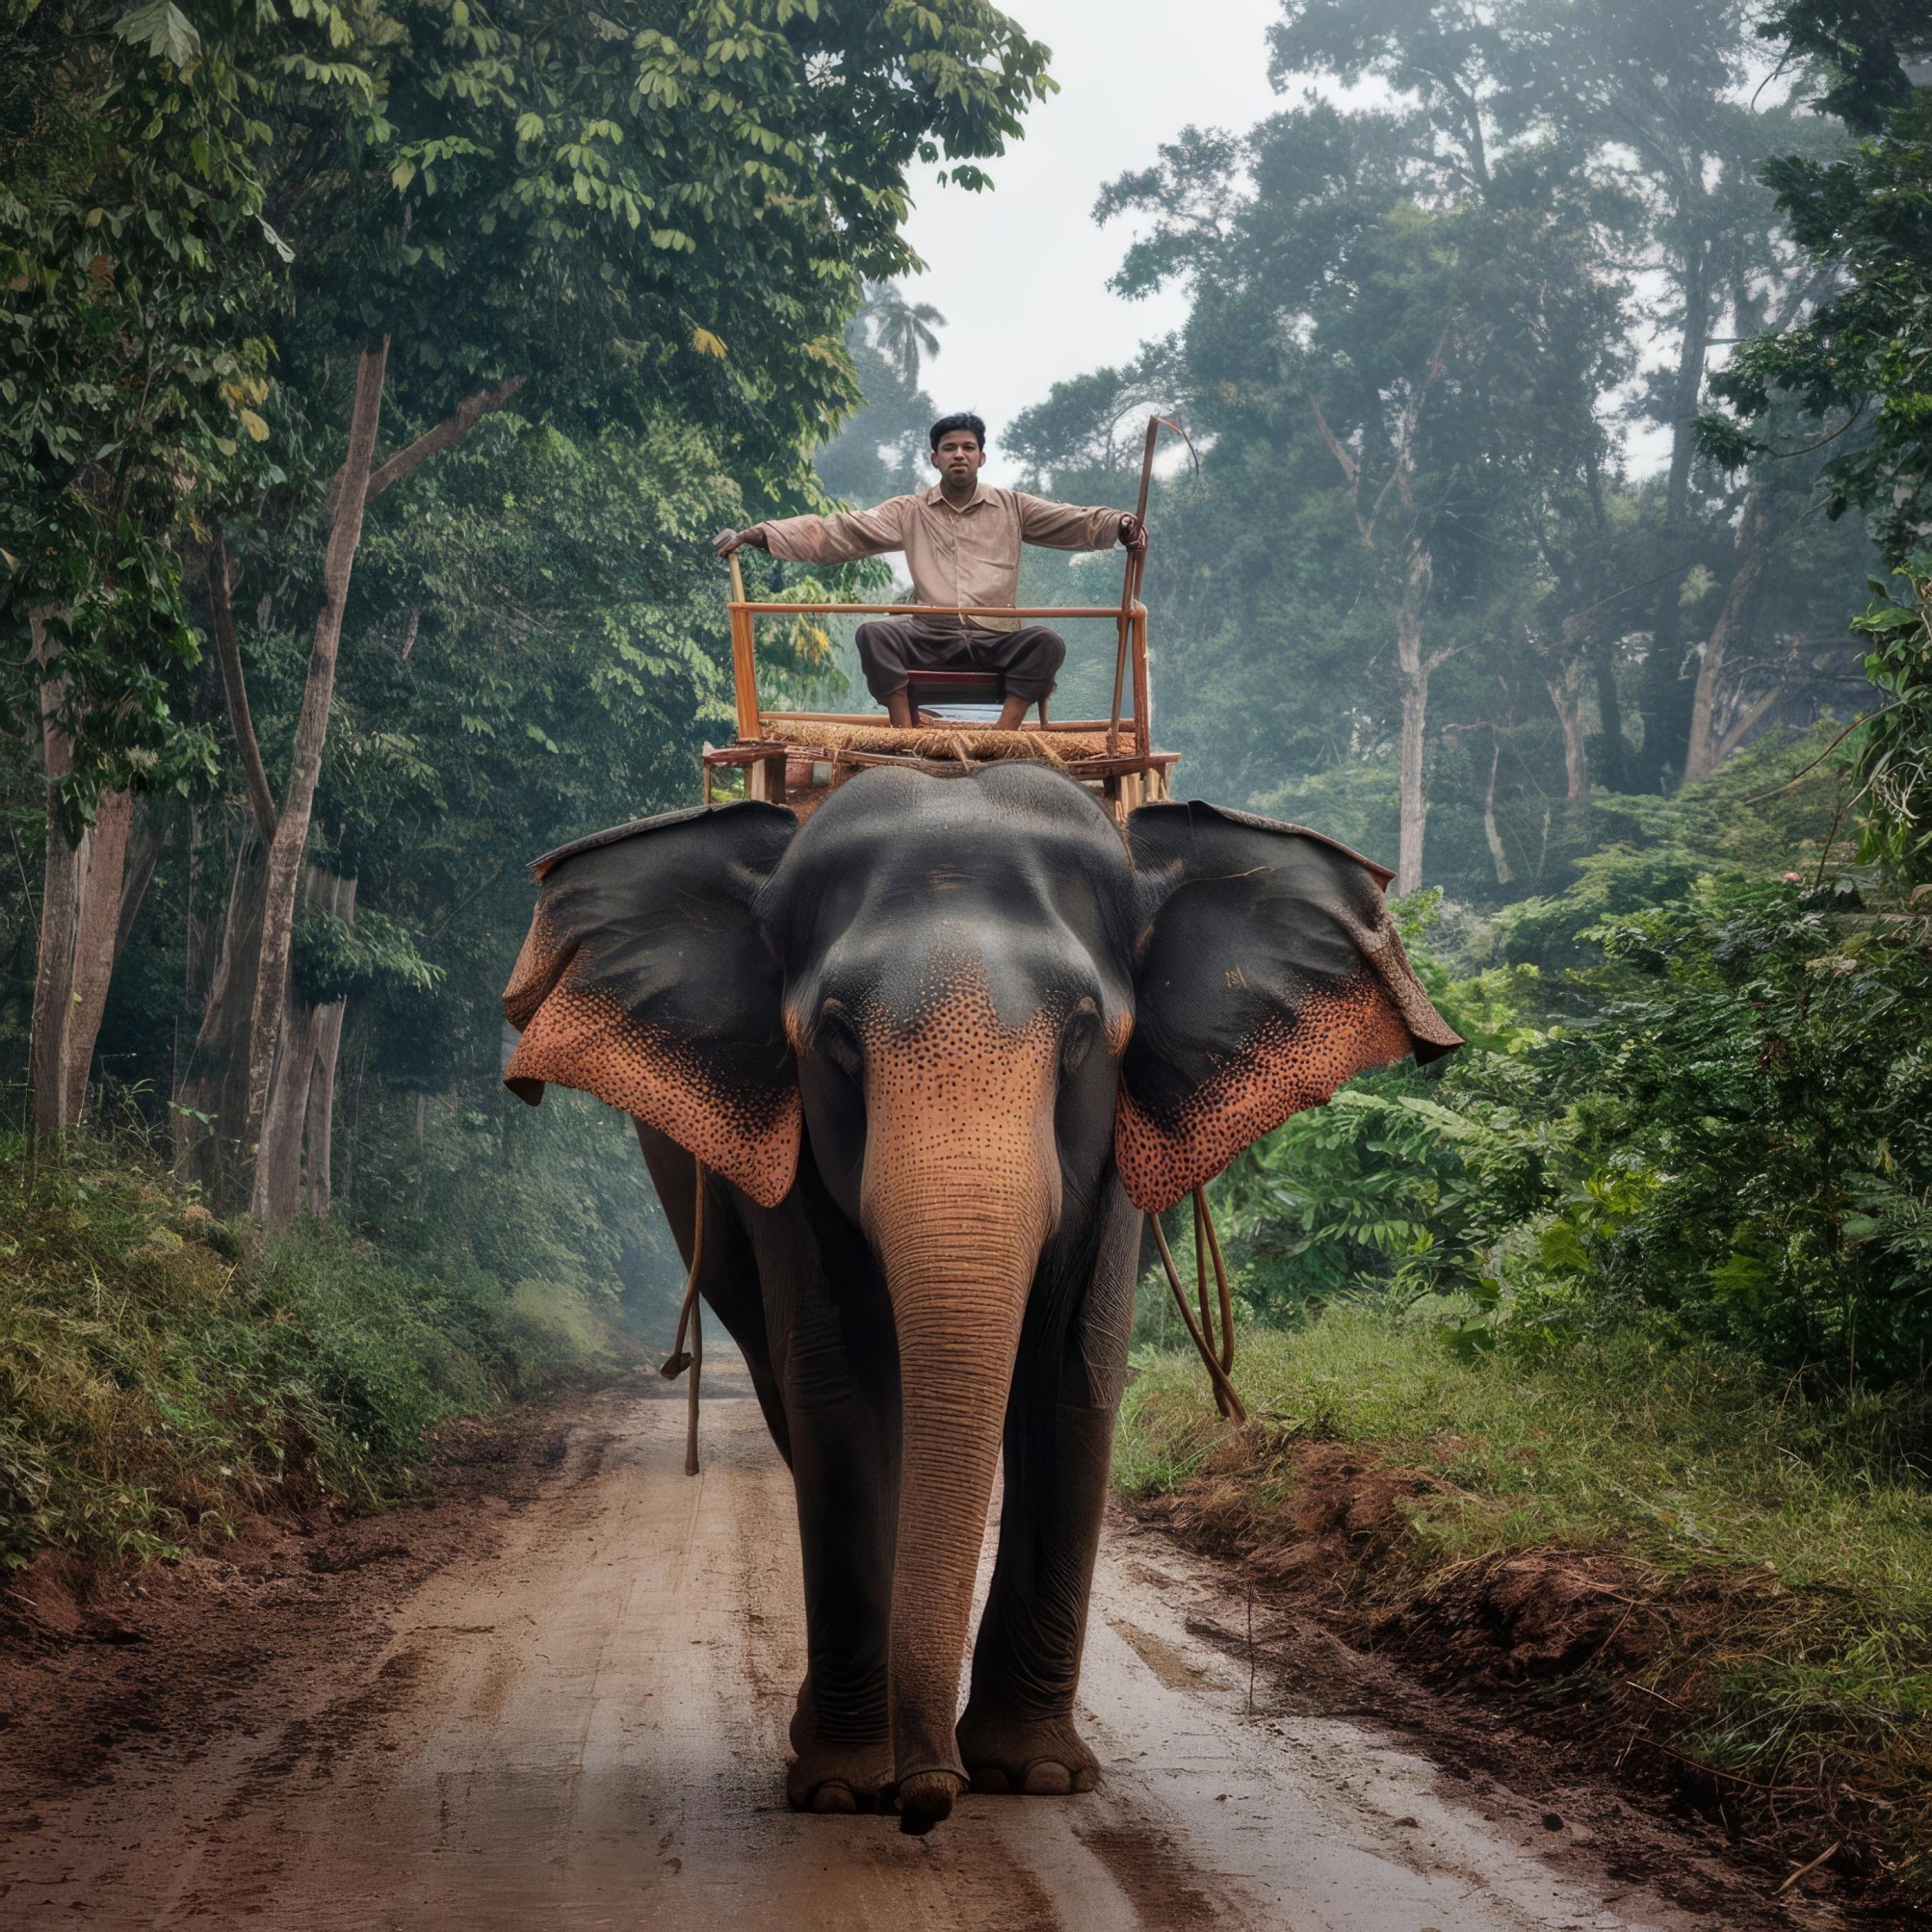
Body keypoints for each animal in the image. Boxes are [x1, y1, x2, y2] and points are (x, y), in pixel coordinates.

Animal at [500, 762, 1459, 1834]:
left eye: (1081, 1033)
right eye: (836, 1038)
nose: (926, 1804)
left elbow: (1073, 1373)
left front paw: (1031, 1775)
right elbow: (840, 1385)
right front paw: (846, 1787)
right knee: (793, 1395)